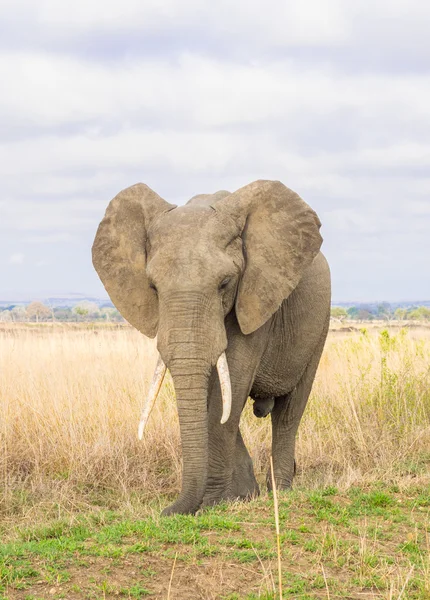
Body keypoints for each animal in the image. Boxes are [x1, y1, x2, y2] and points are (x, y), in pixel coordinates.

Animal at [92, 178, 330, 516]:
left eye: (225, 283)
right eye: (153, 287)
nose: (165, 513)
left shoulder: (256, 293)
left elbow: (232, 384)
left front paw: (214, 502)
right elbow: (213, 394)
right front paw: (236, 498)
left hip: (319, 324)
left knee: (289, 411)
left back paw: (281, 491)